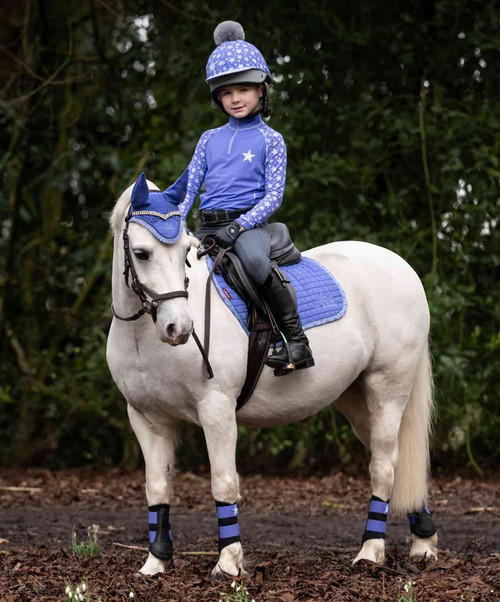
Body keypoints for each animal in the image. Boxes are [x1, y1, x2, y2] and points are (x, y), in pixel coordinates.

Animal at [106, 179, 438, 576]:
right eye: (141, 254)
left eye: (186, 251)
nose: (180, 328)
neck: (143, 337)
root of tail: (402, 266)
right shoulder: (147, 418)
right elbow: (157, 488)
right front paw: (155, 563)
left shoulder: (216, 410)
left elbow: (223, 483)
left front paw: (228, 564)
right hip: (357, 401)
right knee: (397, 463)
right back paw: (424, 543)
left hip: (387, 390)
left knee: (385, 466)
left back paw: (371, 551)